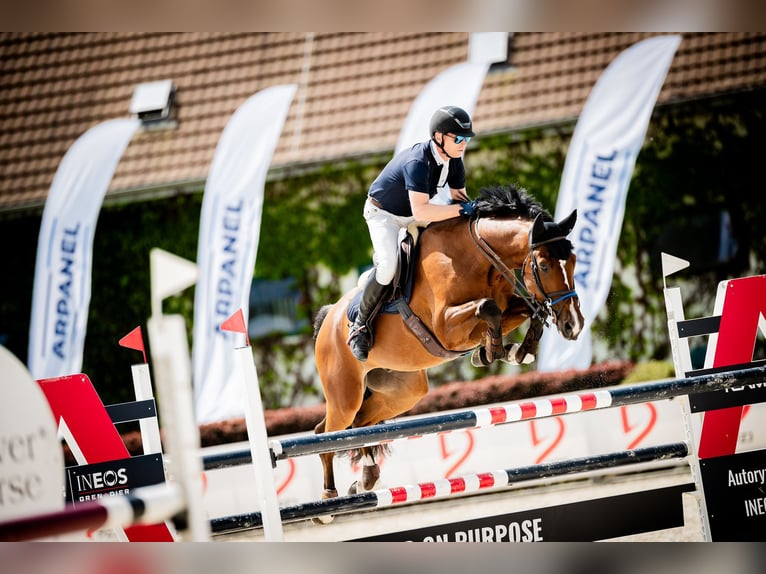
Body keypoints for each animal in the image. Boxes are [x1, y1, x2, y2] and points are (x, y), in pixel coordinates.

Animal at [308, 183, 584, 520]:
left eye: (573, 261)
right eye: (543, 266)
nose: (574, 325)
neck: (479, 256)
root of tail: (328, 317)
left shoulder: (507, 305)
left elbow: (524, 311)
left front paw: (515, 351)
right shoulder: (444, 327)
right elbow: (487, 307)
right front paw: (493, 351)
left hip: (403, 391)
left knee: (361, 425)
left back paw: (365, 479)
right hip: (345, 395)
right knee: (326, 433)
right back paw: (327, 501)